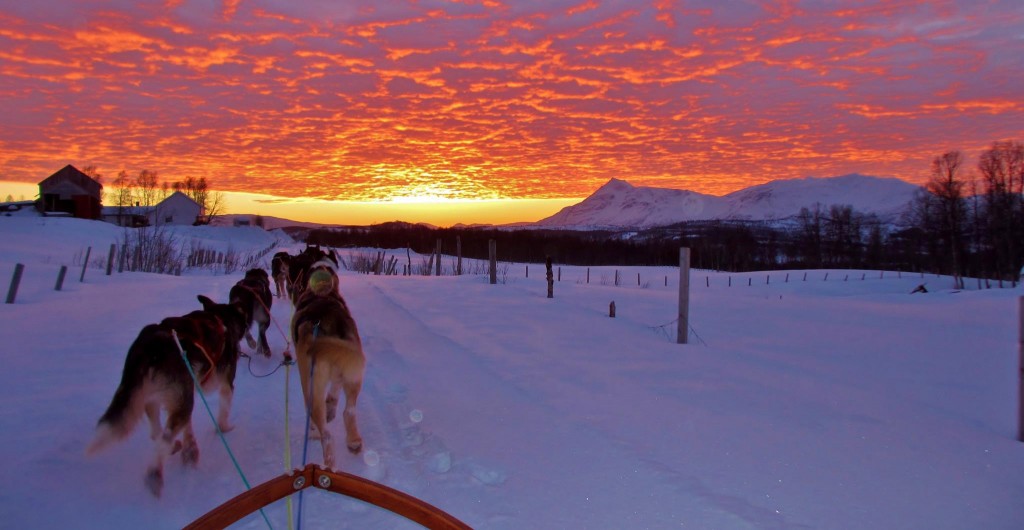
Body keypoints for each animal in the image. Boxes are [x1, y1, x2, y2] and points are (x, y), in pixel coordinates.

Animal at [84, 296, 246, 497]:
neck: (220, 318)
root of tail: (149, 347)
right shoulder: (225, 385)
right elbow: (223, 413)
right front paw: (223, 429)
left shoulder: (186, 391)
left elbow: (187, 429)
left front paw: (190, 451)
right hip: (178, 401)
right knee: (164, 439)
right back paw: (155, 475)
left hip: (152, 399)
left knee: (157, 434)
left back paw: (174, 448)